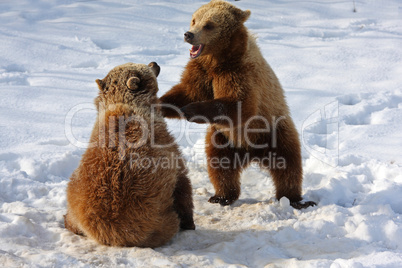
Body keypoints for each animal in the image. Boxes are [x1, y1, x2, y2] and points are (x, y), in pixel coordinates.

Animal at [64, 62, 195, 247]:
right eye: (142, 65)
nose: (155, 63)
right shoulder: (166, 147)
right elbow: (182, 181)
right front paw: (189, 221)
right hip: (155, 220)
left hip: (75, 192)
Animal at [159, 0, 316, 209]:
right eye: (194, 19)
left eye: (209, 25)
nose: (188, 34)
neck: (219, 59)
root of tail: (251, 153)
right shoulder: (202, 72)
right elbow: (187, 91)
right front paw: (160, 104)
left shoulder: (239, 73)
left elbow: (241, 105)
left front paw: (191, 110)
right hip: (223, 139)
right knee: (220, 165)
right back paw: (222, 196)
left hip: (274, 131)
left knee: (288, 166)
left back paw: (294, 199)